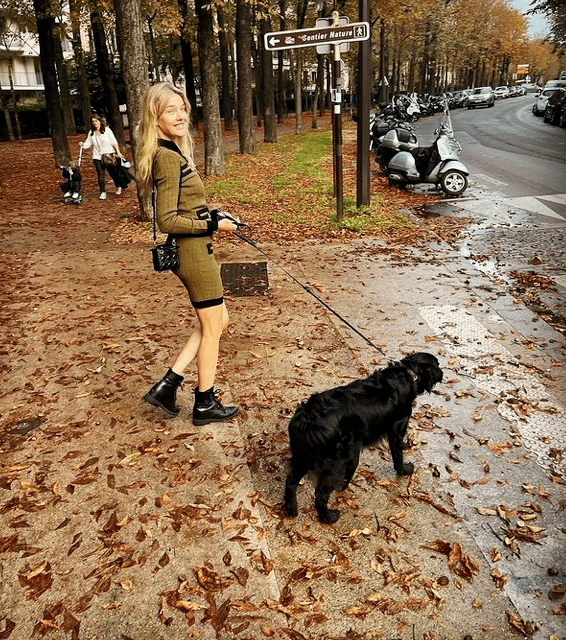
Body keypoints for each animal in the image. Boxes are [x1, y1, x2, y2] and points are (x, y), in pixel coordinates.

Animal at [286, 352, 446, 524]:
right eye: (437, 365)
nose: (442, 373)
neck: (409, 373)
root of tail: (307, 418)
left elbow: (351, 469)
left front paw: (344, 485)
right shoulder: (397, 430)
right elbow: (398, 456)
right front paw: (404, 470)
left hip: (303, 458)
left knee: (290, 481)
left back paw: (291, 509)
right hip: (335, 462)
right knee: (320, 494)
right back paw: (328, 517)